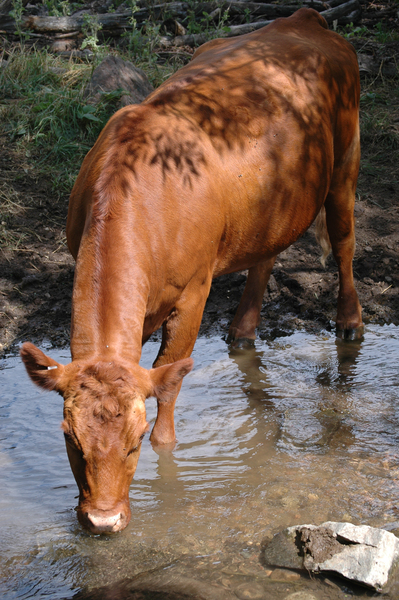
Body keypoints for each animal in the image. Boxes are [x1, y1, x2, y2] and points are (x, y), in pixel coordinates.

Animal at [20, 8, 364, 536]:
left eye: (135, 441)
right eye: (70, 440)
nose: (102, 520)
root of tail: (304, 18)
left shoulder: (195, 290)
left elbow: (169, 377)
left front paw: (167, 462)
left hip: (346, 160)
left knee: (344, 242)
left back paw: (349, 322)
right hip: (268, 204)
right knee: (265, 254)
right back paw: (242, 331)